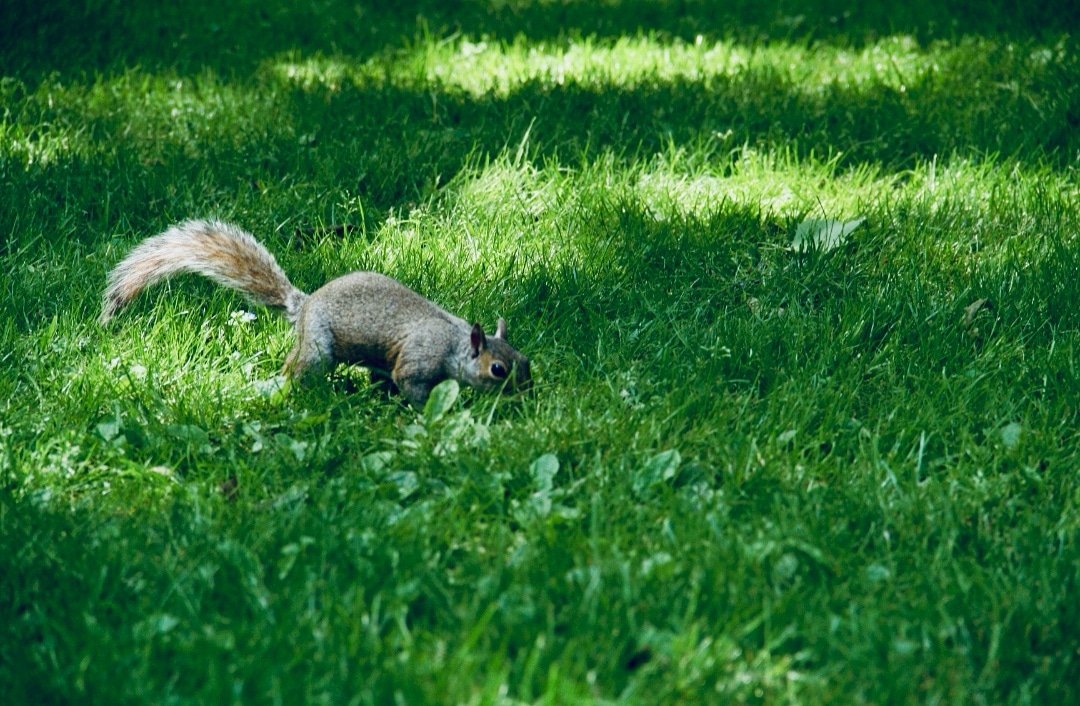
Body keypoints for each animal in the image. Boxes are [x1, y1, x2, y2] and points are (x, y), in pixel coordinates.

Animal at [100, 219, 531, 406]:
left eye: (525, 360)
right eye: (498, 370)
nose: (527, 392)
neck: (455, 344)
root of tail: (304, 305)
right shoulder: (417, 362)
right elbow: (412, 387)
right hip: (318, 349)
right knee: (297, 369)